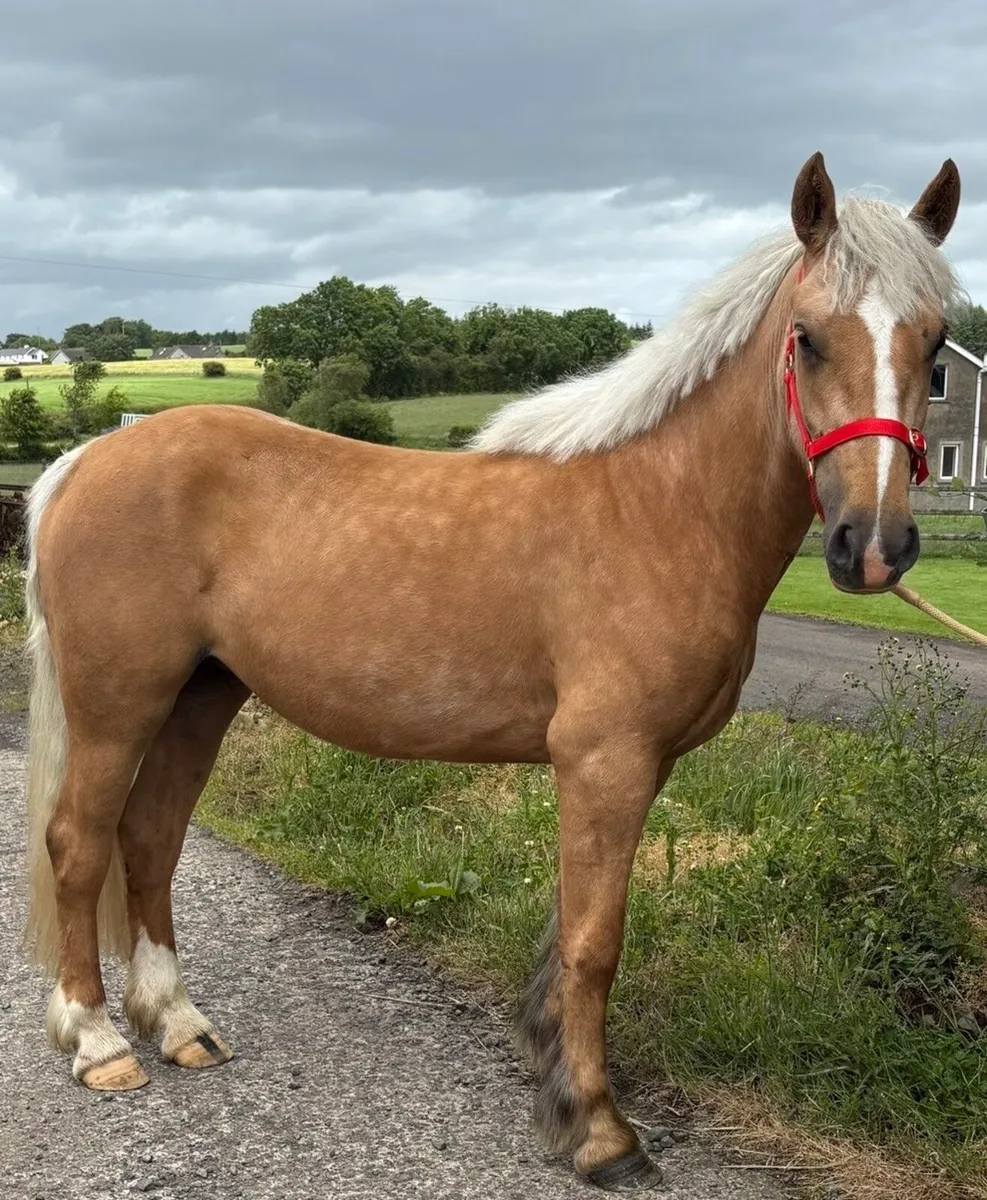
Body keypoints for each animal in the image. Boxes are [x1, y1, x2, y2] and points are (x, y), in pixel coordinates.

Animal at [22, 152, 961, 1191]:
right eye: (806, 338)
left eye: (936, 341)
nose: (871, 547)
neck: (661, 507)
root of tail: (86, 458)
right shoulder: (605, 760)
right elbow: (595, 943)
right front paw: (597, 1129)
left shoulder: (631, 768)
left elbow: (570, 926)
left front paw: (554, 1071)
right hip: (118, 705)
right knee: (79, 845)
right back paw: (100, 1042)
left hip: (199, 698)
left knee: (149, 840)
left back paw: (179, 1025)